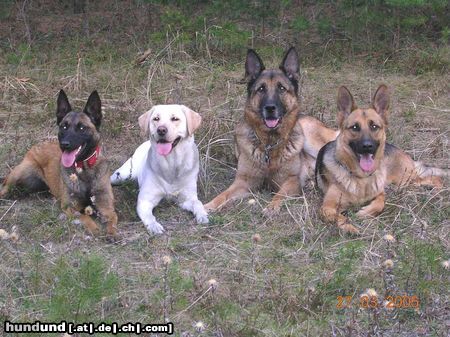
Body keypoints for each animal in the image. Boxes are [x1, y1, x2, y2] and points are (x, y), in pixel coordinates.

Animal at [0, 89, 118, 236]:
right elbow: (85, 217)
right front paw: (95, 229)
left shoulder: (106, 206)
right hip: (20, 173)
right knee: (4, 187)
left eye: (82, 128)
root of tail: (36, 146)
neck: (84, 169)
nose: (64, 144)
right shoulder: (69, 206)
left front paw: (112, 232)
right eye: (64, 127)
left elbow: (112, 218)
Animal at [112, 103, 211, 232]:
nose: (161, 130)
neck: (171, 163)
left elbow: (198, 203)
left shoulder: (186, 199)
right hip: (122, 175)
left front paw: (203, 216)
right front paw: (154, 226)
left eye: (175, 119)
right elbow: (149, 216)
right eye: (156, 119)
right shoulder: (145, 200)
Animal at [205, 48, 338, 213]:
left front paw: (272, 207)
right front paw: (208, 205)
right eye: (261, 89)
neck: (269, 144)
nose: (270, 108)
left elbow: (280, 194)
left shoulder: (291, 181)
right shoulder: (243, 182)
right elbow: (223, 194)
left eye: (281, 88)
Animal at [314, 84, 448, 232]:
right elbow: (340, 218)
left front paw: (365, 212)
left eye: (374, 126)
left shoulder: (380, 192)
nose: (367, 146)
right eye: (355, 127)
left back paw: (435, 191)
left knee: (434, 178)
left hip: (403, 180)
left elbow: (381, 202)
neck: (362, 178)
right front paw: (351, 228)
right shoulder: (326, 208)